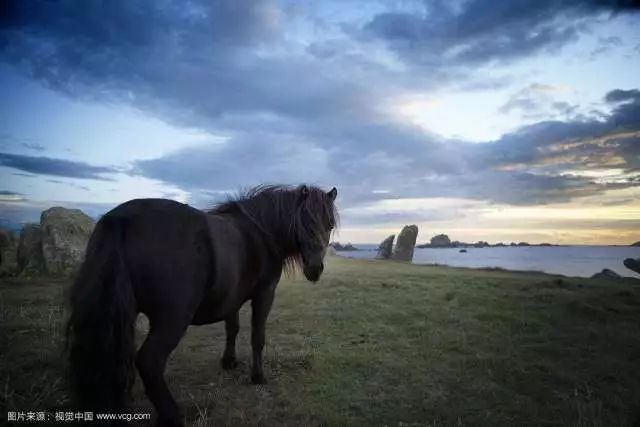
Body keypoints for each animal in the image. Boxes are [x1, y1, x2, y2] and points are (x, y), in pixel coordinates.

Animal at [66, 186, 340, 426]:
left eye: (329, 225)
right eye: (303, 222)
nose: (315, 269)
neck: (261, 232)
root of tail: (120, 219)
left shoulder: (232, 299)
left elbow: (232, 329)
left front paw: (229, 362)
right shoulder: (265, 294)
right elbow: (257, 337)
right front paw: (258, 376)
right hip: (172, 320)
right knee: (149, 361)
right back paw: (172, 415)